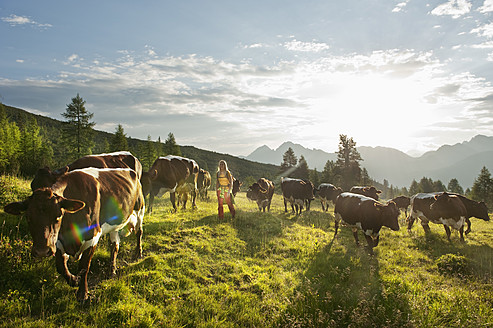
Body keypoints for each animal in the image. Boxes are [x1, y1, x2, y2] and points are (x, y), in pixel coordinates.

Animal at [3, 168, 144, 302]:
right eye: (28, 217)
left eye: (58, 216)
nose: (42, 251)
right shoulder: (58, 241)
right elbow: (61, 266)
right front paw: (74, 280)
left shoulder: (93, 236)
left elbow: (84, 267)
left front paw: (83, 294)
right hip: (115, 222)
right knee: (114, 245)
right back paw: (112, 270)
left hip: (139, 210)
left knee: (139, 232)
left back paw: (138, 253)